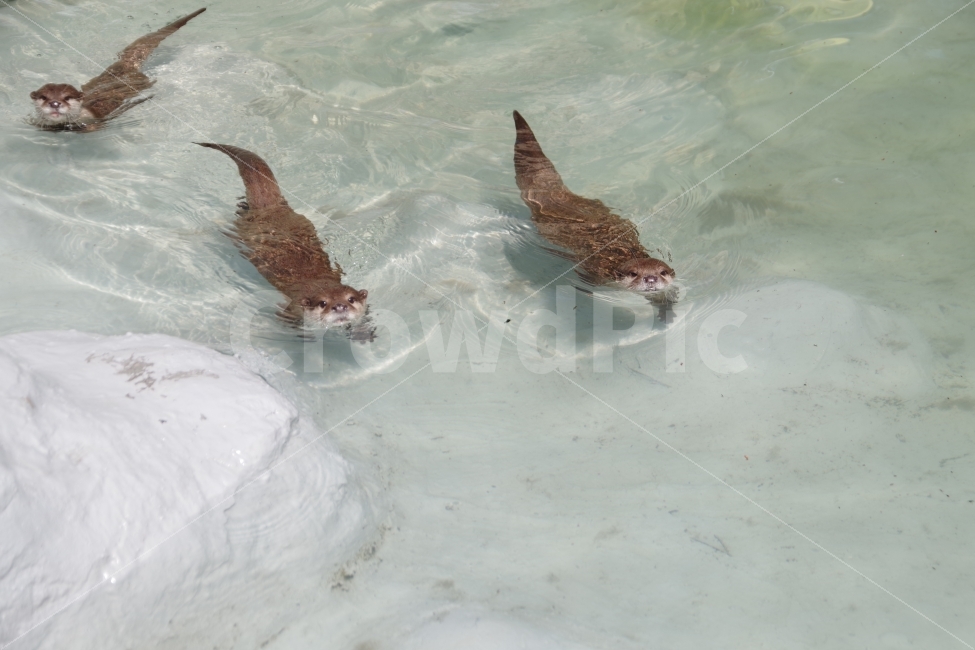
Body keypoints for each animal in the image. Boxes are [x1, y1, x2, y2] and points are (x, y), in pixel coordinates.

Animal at [197, 143, 369, 329]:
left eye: (351, 299)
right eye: (323, 303)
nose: (339, 306)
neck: (317, 282)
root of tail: (273, 208)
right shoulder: (293, 306)